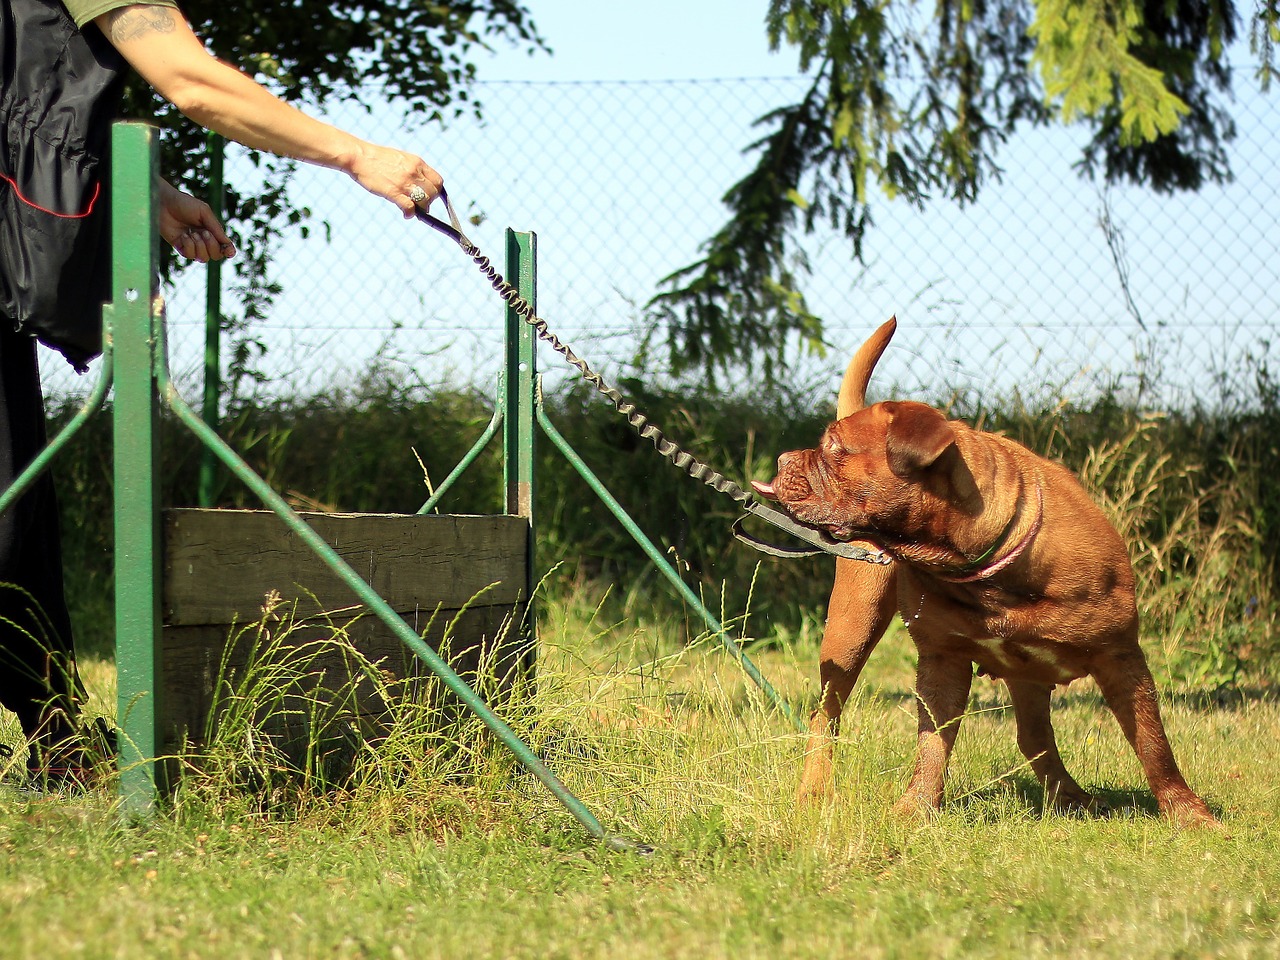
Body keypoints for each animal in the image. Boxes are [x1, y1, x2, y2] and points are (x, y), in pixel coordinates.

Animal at [752, 320, 1213, 829]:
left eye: (835, 448)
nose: (783, 460)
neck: (981, 564)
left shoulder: (1121, 655)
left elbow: (1153, 744)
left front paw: (1189, 814)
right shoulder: (942, 660)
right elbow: (932, 745)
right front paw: (914, 809)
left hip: (1026, 673)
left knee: (1035, 737)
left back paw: (1074, 798)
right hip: (852, 628)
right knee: (826, 715)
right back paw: (814, 792)